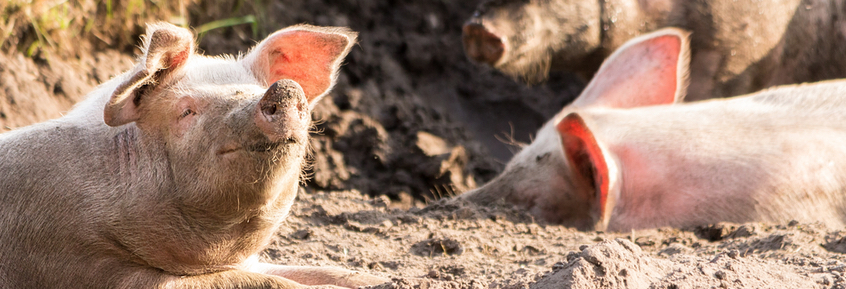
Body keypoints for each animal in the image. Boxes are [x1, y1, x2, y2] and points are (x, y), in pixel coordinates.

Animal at [0, 23, 390, 288]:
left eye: (257, 88)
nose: (284, 88)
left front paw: (377, 280)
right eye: (187, 111)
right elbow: (254, 282)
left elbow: (312, 270)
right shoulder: (82, 263)